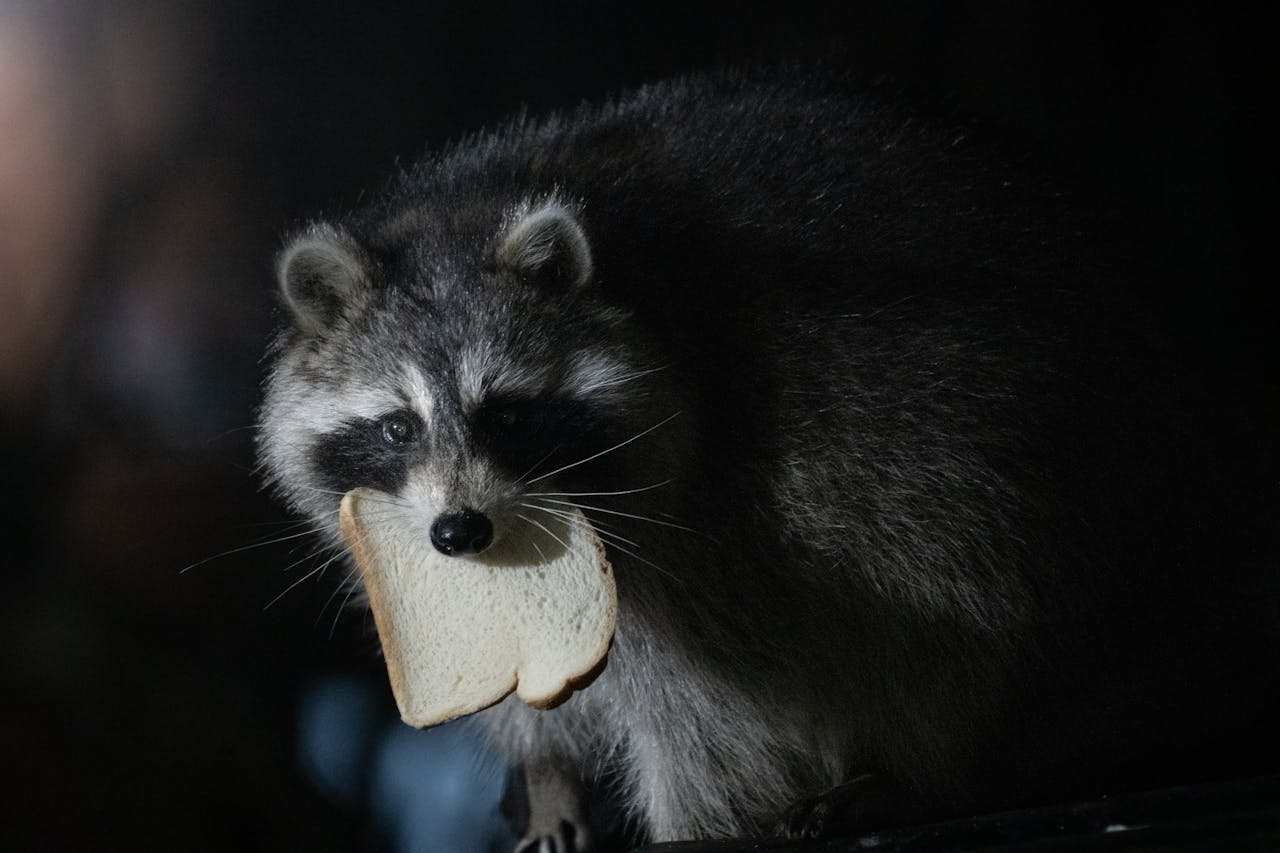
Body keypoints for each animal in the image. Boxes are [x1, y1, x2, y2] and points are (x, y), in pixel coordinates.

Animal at [257, 68, 1277, 847]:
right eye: (397, 427)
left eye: (508, 414)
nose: (459, 531)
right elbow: (521, 677)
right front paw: (546, 770)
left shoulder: (715, 520)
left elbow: (714, 713)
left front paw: (690, 819)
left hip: (1048, 489)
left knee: (963, 613)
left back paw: (924, 768)